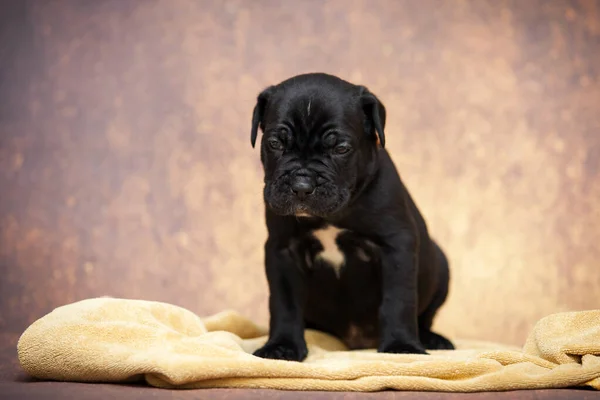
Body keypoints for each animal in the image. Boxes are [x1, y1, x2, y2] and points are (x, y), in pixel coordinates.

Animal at [247, 72, 450, 362]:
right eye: (274, 144)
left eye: (341, 148)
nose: (302, 185)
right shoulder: (282, 249)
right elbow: (284, 302)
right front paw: (282, 345)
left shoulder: (396, 245)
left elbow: (398, 299)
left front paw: (402, 346)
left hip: (441, 268)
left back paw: (433, 339)